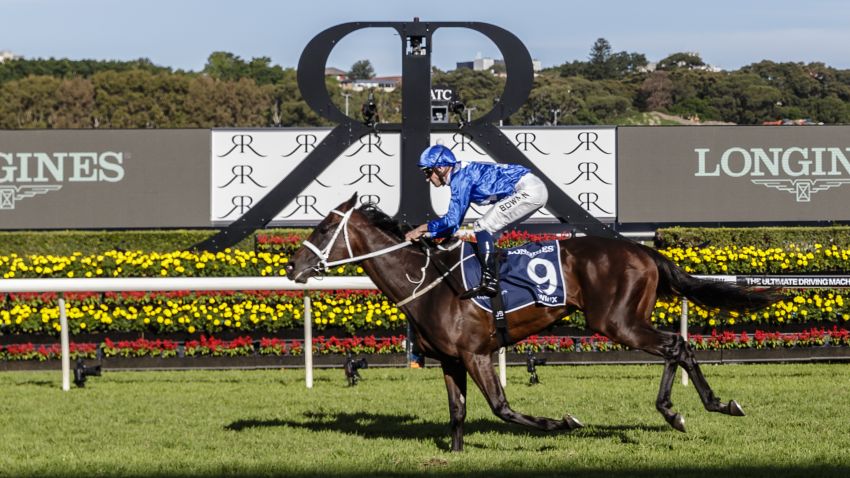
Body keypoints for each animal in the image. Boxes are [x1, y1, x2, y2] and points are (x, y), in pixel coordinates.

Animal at [284, 194, 776, 452]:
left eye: (325, 228)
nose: (292, 266)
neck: (429, 281)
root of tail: (642, 249)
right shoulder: (451, 360)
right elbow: (458, 411)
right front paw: (456, 454)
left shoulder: (476, 354)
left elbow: (501, 408)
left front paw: (563, 423)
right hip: (625, 320)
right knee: (680, 345)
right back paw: (710, 405)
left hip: (617, 322)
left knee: (676, 345)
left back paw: (682, 410)